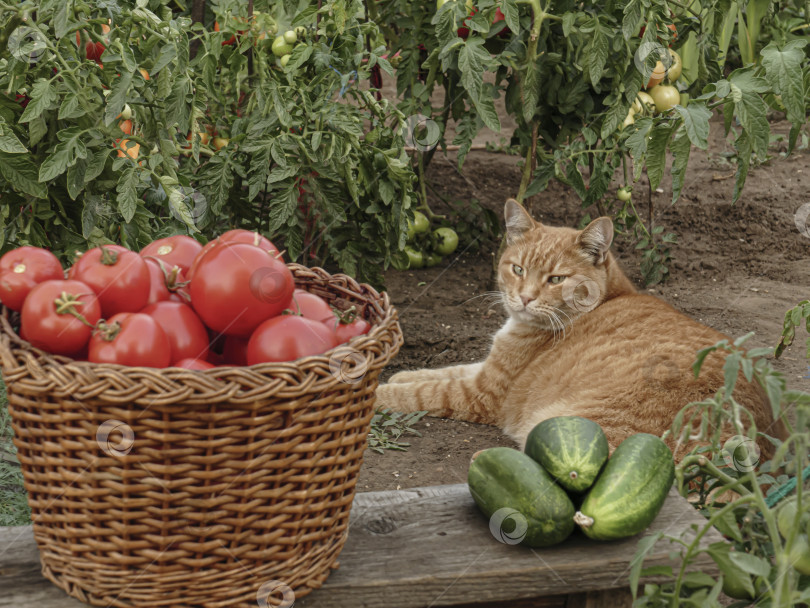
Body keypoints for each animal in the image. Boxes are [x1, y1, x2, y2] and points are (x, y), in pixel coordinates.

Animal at [378, 197, 784, 458]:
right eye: (518, 269)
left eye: (556, 279)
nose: (523, 298)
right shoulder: (486, 370)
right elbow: (443, 370)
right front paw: (401, 374)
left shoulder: (483, 393)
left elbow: (423, 393)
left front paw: (381, 391)